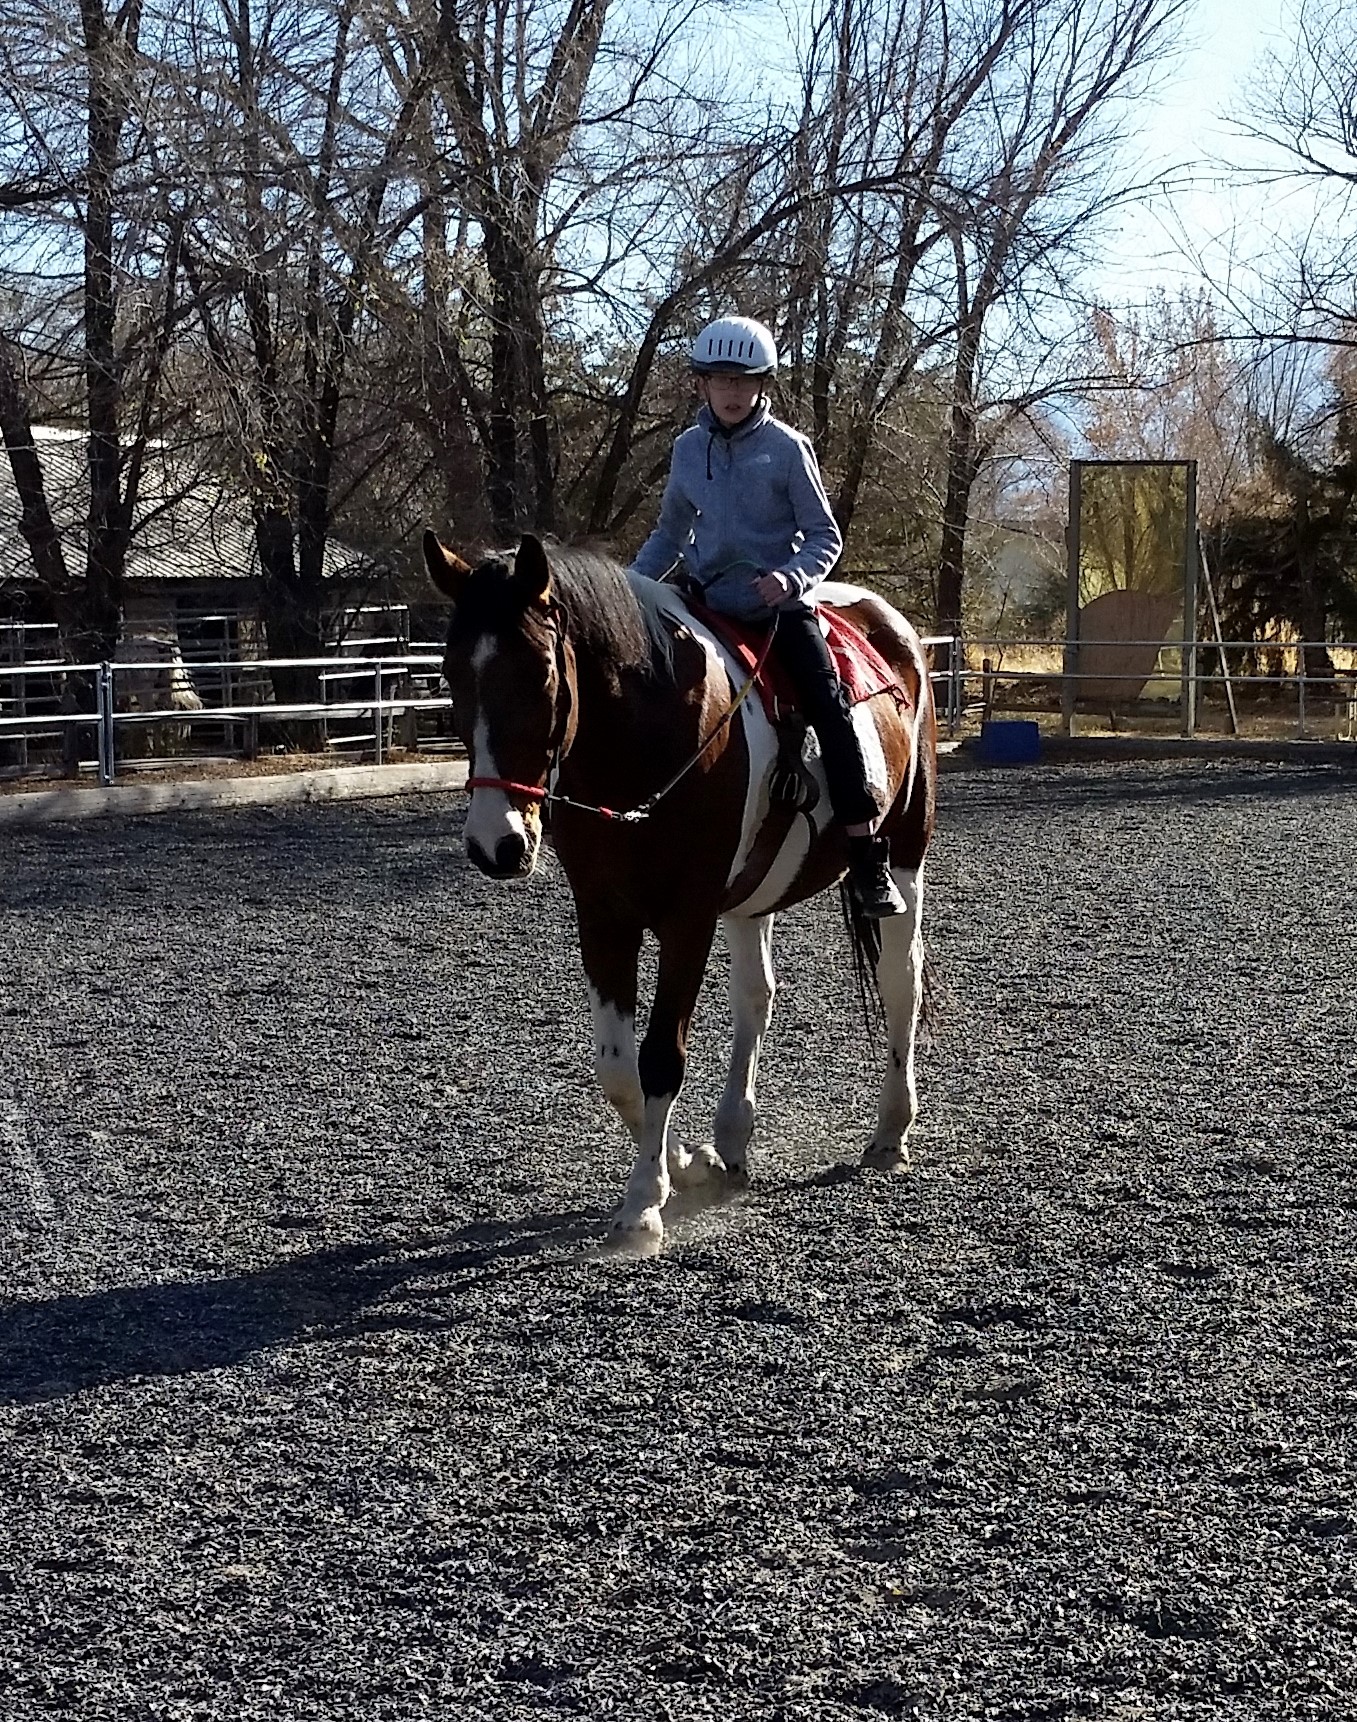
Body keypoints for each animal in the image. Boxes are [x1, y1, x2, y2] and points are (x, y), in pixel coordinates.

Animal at [423, 530, 929, 1246]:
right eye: (450, 673)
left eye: (541, 672)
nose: (497, 844)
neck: (646, 738)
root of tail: (890, 624)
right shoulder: (604, 916)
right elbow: (618, 1068)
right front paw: (687, 1164)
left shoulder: (687, 917)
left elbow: (662, 1055)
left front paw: (643, 1202)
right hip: (749, 898)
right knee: (756, 999)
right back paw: (733, 1139)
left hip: (904, 858)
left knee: (899, 981)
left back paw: (890, 1131)